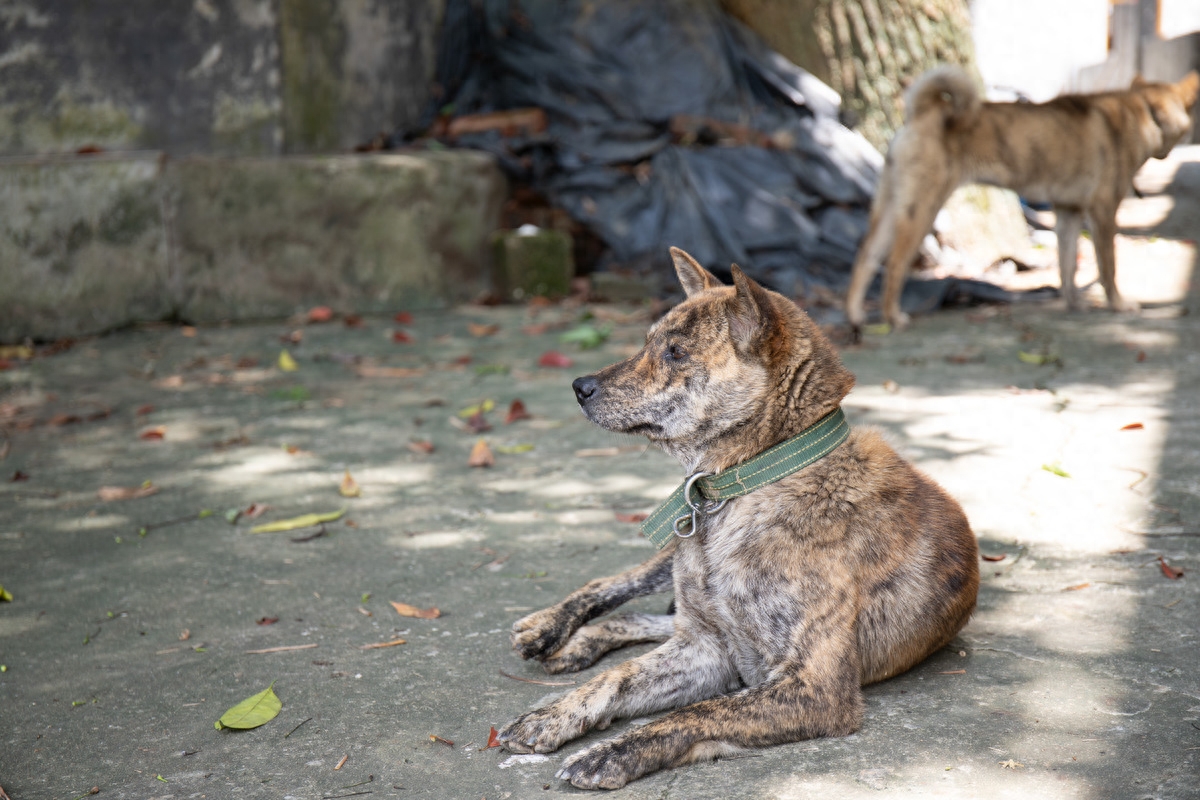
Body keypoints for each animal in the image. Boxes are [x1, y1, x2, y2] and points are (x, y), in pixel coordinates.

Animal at [496, 248, 974, 786]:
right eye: (647, 343)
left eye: (676, 353)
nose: (579, 386)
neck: (753, 481)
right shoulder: (705, 648)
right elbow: (619, 676)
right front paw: (552, 715)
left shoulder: (813, 687)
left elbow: (694, 712)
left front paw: (612, 752)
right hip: (672, 565)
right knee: (621, 588)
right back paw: (550, 629)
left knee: (649, 620)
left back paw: (578, 643)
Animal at [844, 64, 1200, 335]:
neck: (1144, 109)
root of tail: (924, 111)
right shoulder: (1103, 210)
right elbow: (1108, 267)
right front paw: (1118, 304)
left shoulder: (1068, 211)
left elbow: (1068, 266)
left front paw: (1074, 303)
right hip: (922, 208)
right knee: (894, 264)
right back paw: (893, 317)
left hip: (890, 208)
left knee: (865, 258)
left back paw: (855, 316)